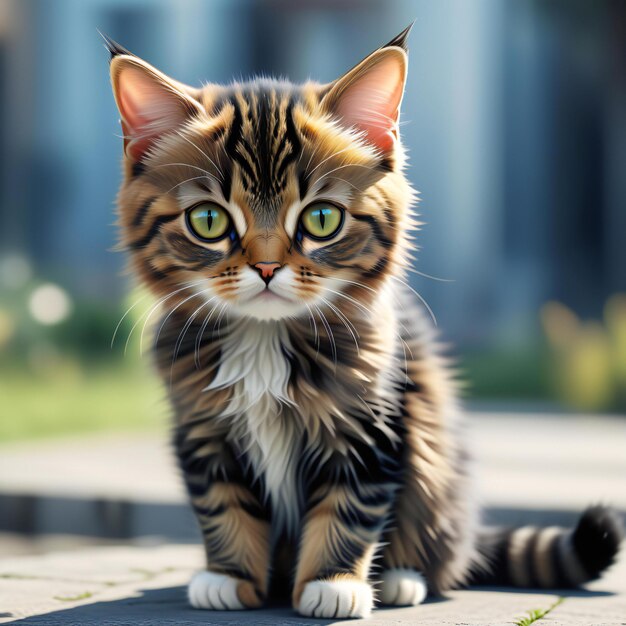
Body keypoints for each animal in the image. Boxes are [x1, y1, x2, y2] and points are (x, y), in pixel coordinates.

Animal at [103, 26, 620, 616]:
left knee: (437, 550)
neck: (264, 338)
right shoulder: (203, 429)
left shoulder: (374, 425)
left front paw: (334, 583)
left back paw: (400, 578)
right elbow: (223, 505)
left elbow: (349, 509)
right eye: (208, 221)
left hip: (435, 468)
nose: (266, 268)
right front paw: (228, 575)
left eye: (321, 218)